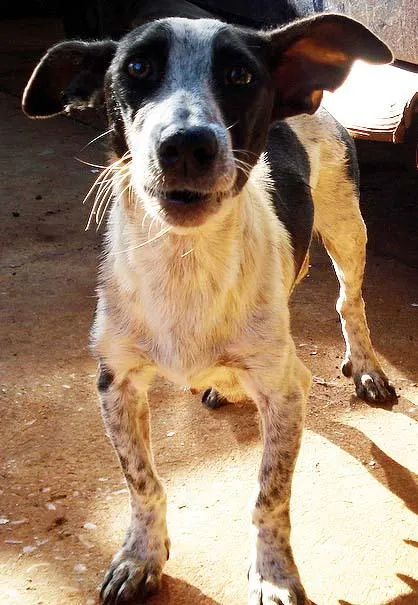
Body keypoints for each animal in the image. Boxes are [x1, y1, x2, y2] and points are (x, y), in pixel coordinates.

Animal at [22, 13, 396, 604]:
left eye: (241, 75)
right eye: (137, 67)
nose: (186, 145)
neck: (186, 262)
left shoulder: (285, 390)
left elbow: (269, 495)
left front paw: (274, 574)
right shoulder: (115, 382)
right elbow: (142, 482)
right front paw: (140, 556)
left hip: (346, 227)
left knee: (349, 299)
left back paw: (365, 367)